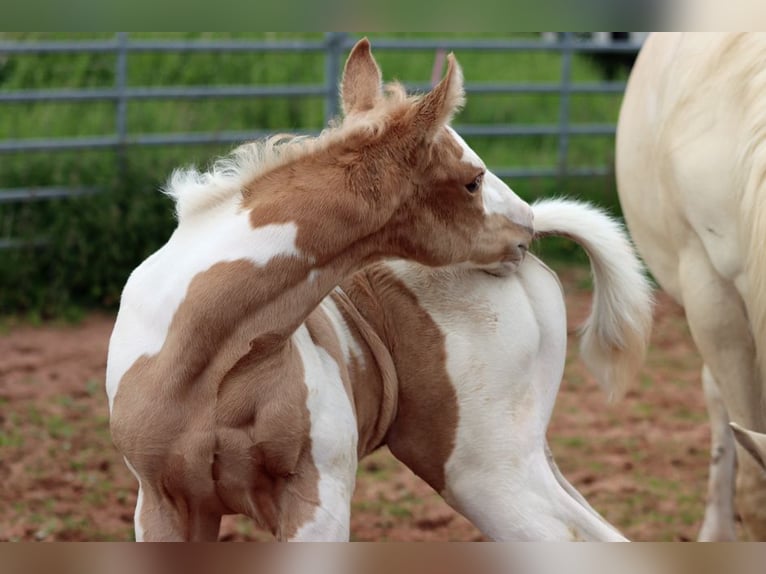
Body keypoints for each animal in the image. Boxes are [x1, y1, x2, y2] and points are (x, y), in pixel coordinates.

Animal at [106, 38, 651, 541]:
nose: (524, 224)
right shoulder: (163, 505)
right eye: (473, 180)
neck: (209, 359)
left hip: (486, 471)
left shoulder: (317, 499)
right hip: (515, 463)